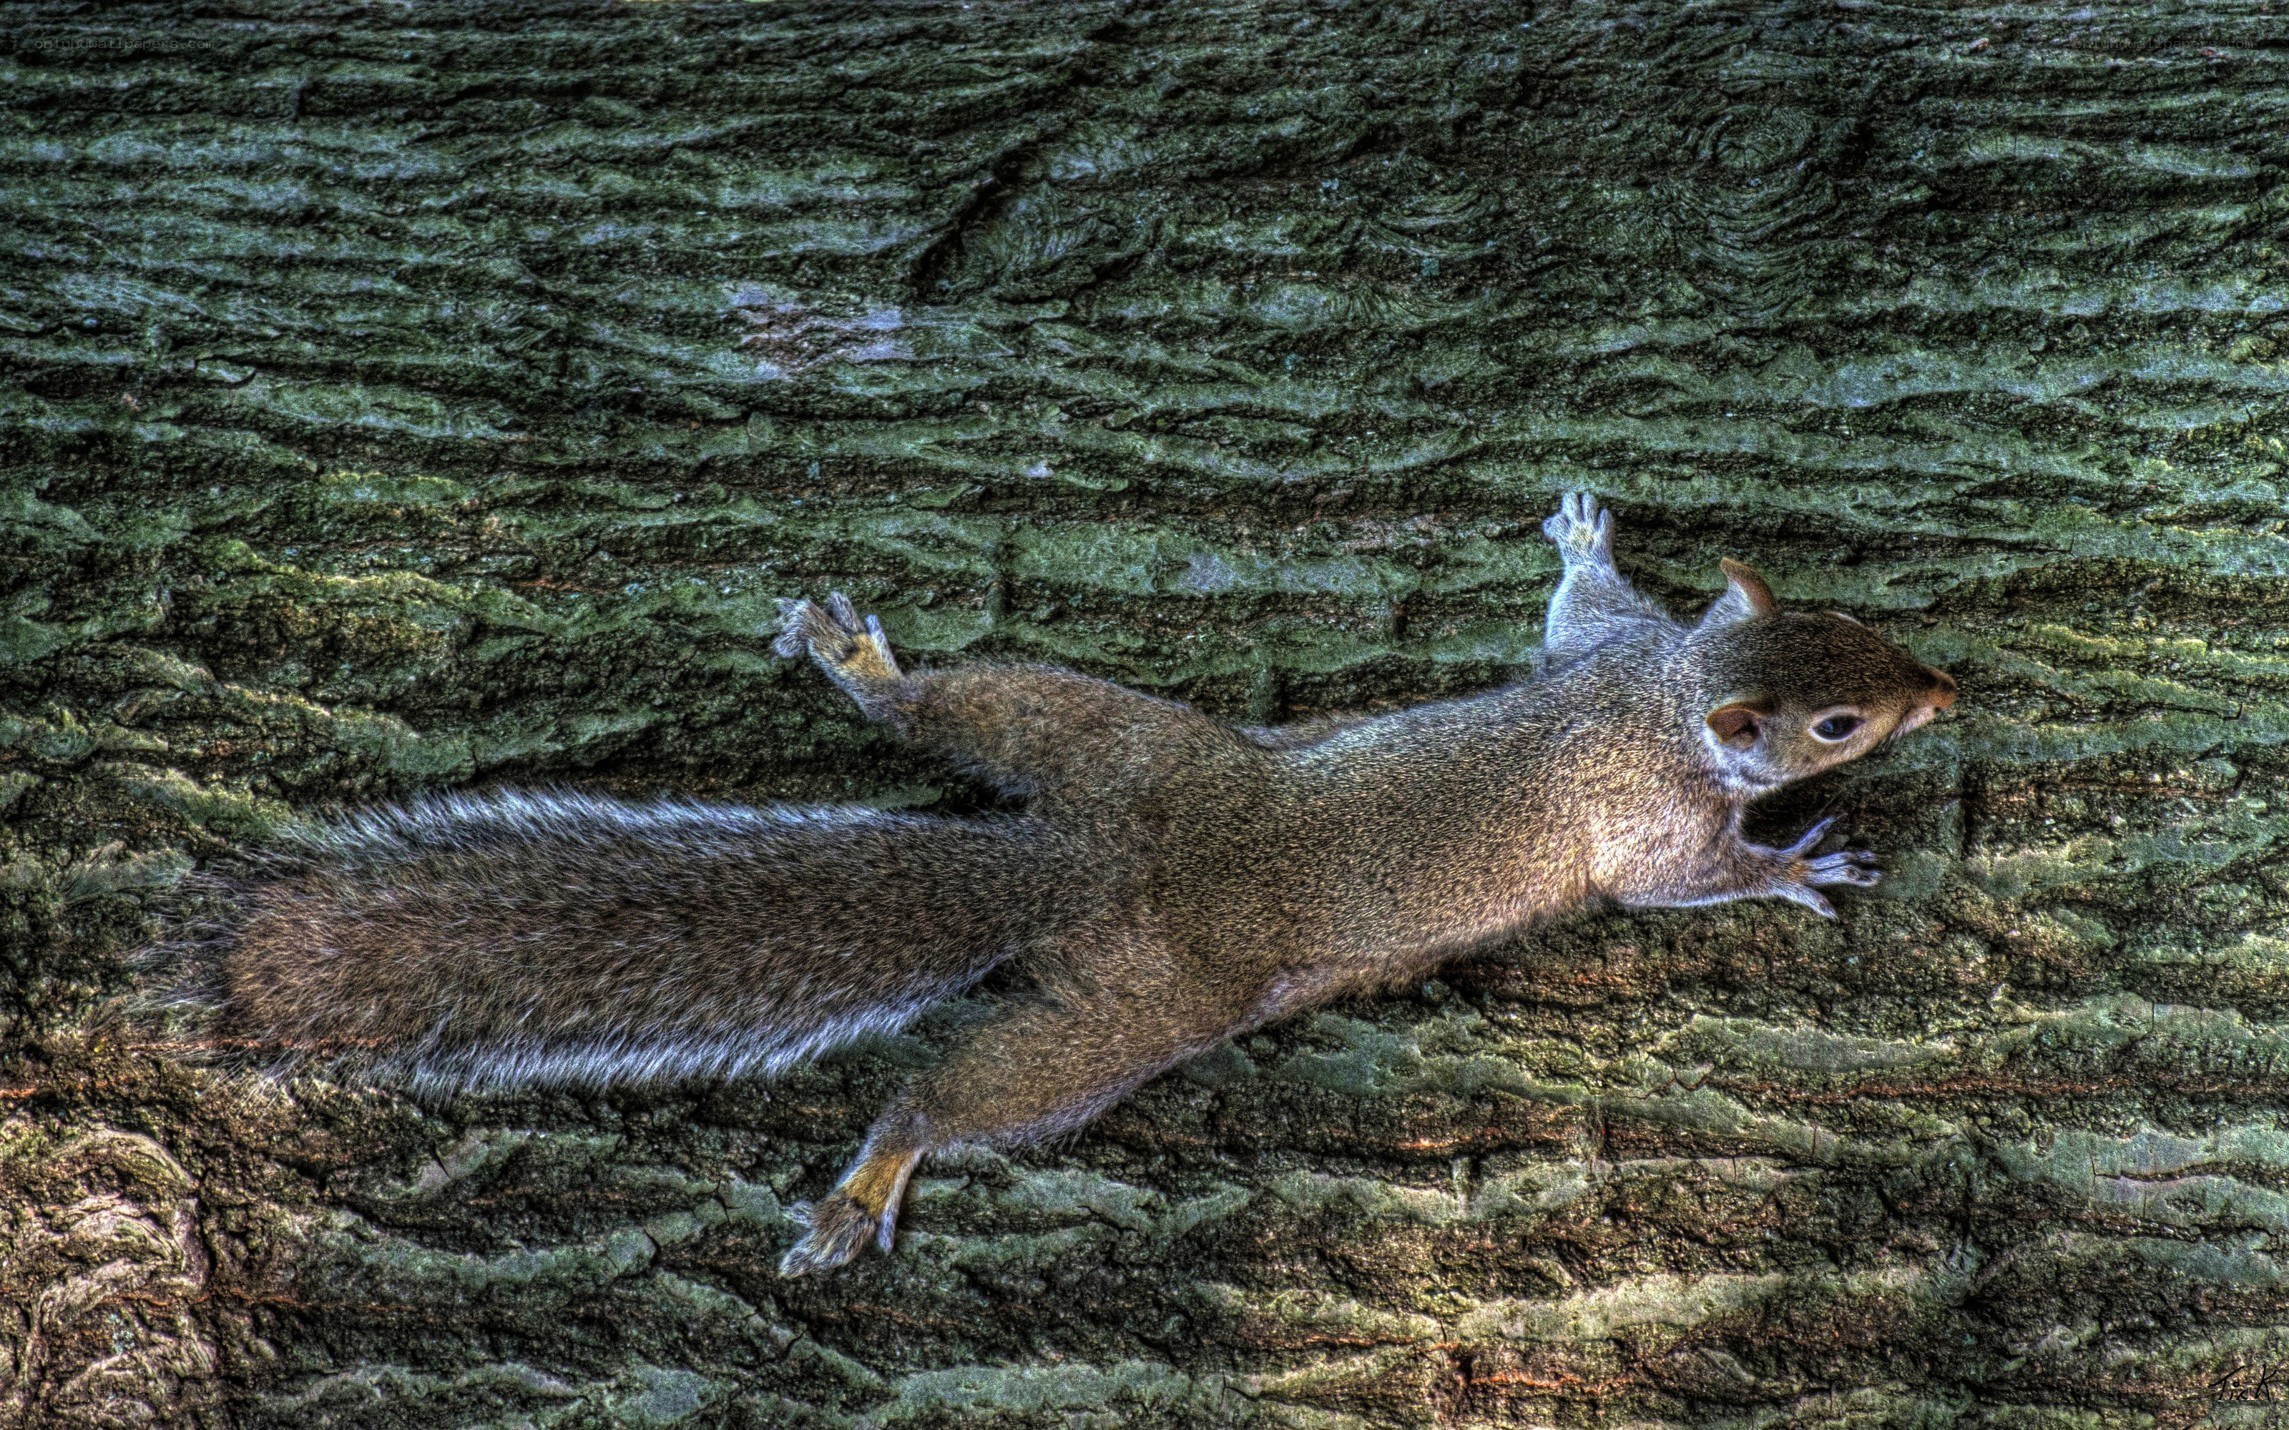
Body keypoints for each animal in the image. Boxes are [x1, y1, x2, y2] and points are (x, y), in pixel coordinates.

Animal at [195, 494, 1956, 1276]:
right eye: (1838, 723)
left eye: (1857, 630)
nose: (1945, 688)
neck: (1661, 699)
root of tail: (1083, 854)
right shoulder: (1644, 812)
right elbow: (1679, 884)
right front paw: (1796, 865)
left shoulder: (1608, 655)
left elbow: (1579, 602)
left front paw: (1587, 532)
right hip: (1129, 1013)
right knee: (957, 1093)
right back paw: (871, 1180)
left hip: (1091, 733)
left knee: (954, 711)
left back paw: (866, 672)